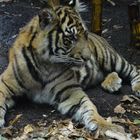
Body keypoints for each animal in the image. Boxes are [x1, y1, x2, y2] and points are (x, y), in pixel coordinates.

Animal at [0, 0, 139, 136]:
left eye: (85, 35)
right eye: (71, 38)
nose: (88, 57)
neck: (45, 65)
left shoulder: (70, 91)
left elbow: (89, 107)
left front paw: (108, 126)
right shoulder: (5, 83)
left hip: (110, 58)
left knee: (133, 69)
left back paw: (136, 87)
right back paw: (112, 84)